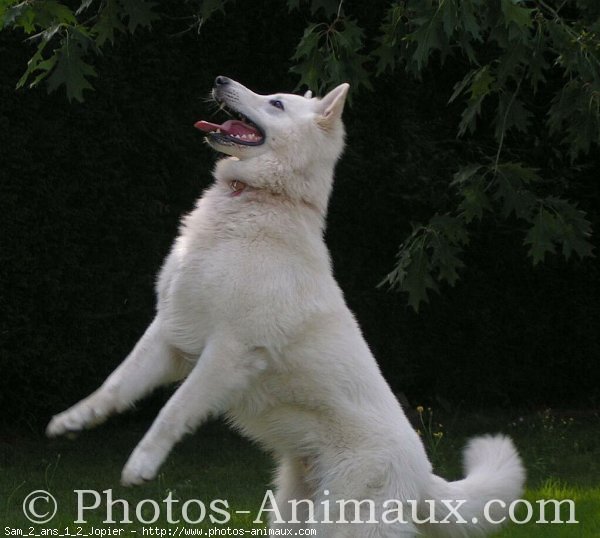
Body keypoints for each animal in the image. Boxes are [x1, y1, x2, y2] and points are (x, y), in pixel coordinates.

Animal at [48, 77, 524, 532]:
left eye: (275, 103)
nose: (220, 79)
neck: (258, 198)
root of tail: (424, 477)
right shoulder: (171, 334)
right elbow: (116, 384)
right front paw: (73, 420)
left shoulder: (227, 352)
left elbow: (173, 408)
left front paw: (140, 466)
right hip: (290, 517)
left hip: (342, 524)